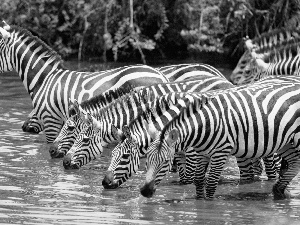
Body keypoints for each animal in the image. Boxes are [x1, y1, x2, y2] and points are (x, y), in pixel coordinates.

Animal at [141, 75, 300, 200]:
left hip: (296, 139)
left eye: (166, 162)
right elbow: (199, 181)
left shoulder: (221, 152)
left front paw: (209, 206)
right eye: (147, 159)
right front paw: (199, 202)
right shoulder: (202, 153)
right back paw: (279, 190)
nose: (144, 192)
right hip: (285, 142)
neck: (205, 125)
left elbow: (211, 184)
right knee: (294, 162)